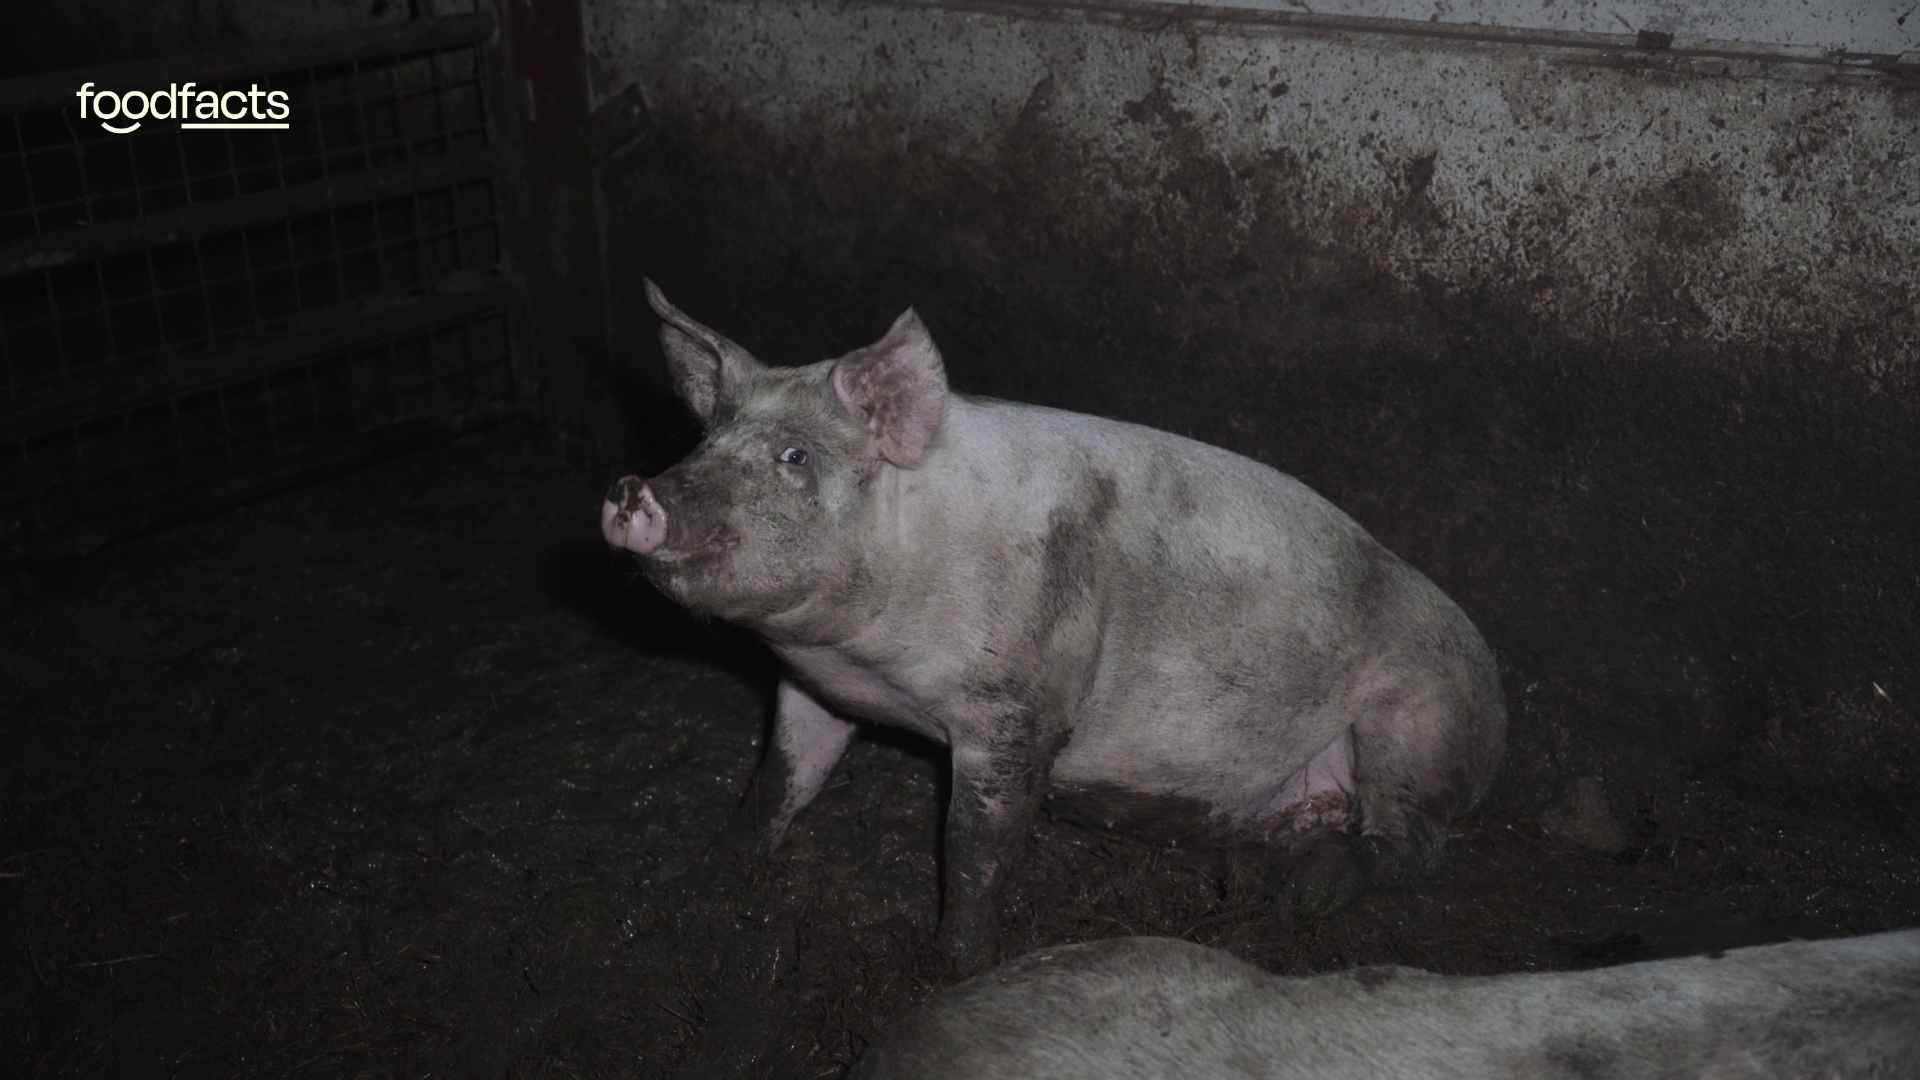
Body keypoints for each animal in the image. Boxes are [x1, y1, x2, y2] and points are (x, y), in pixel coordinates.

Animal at [602, 281, 1506, 969]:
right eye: (705, 441)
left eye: (795, 458)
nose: (631, 491)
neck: (864, 661)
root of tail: (1495, 693)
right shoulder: (811, 690)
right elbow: (782, 778)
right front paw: (717, 870)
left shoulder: (1017, 709)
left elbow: (977, 845)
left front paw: (954, 966)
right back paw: (1252, 873)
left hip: (1417, 718)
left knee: (1413, 846)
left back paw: (1302, 891)